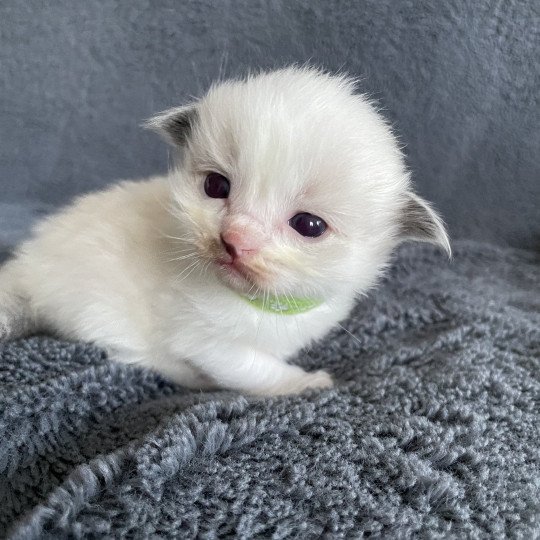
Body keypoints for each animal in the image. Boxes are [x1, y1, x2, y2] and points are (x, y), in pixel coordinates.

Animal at [0, 67, 450, 396]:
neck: (264, 305)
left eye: (309, 226)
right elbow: (259, 368)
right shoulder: (205, 341)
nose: (234, 240)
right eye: (217, 186)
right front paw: (307, 382)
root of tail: (24, 267)